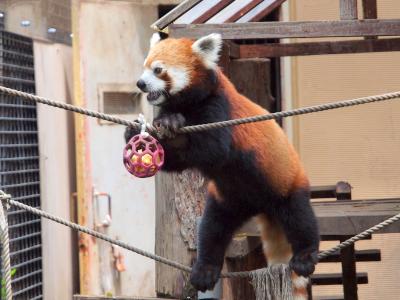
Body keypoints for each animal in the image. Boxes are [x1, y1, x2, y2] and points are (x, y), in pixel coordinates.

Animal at [125, 31, 318, 298]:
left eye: (158, 70)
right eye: (144, 67)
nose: (140, 84)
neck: (188, 103)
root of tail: (261, 205)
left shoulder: (218, 107)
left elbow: (212, 150)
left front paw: (173, 125)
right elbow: (175, 161)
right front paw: (136, 130)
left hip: (287, 183)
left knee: (300, 217)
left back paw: (305, 255)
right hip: (227, 199)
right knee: (212, 230)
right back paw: (205, 270)